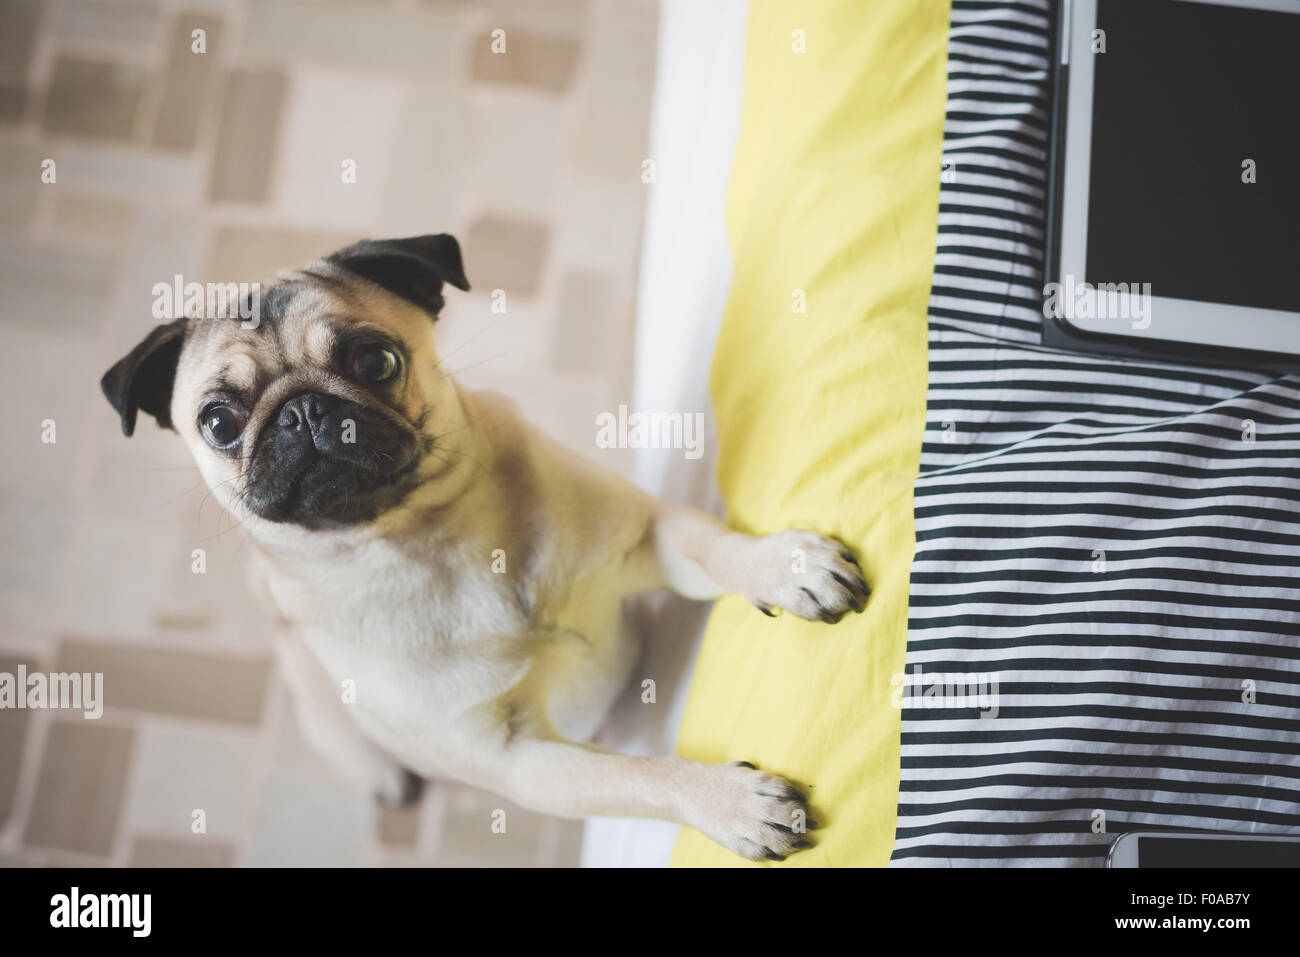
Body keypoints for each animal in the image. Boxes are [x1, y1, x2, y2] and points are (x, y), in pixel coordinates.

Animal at [101, 234, 868, 858]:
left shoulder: (646, 534)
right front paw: (729, 803)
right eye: (219, 422)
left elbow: (716, 548)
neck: (431, 539)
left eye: (375, 360)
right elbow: (637, 776)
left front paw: (783, 565)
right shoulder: (519, 761)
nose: (302, 412)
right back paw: (384, 777)